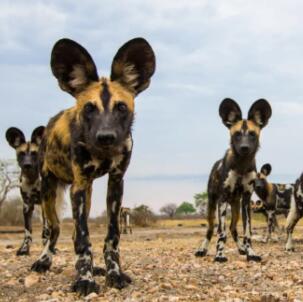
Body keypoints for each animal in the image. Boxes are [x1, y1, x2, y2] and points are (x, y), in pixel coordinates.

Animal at [5, 126, 47, 256]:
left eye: (34, 154)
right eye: (21, 154)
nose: (27, 165)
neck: (32, 180)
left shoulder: (45, 203)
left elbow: (46, 231)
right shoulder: (27, 205)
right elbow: (28, 231)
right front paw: (24, 249)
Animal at [30, 36, 157, 294]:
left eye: (121, 107)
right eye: (89, 108)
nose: (106, 136)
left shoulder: (115, 184)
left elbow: (112, 236)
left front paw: (113, 273)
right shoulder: (78, 185)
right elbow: (82, 239)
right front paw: (84, 280)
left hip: (85, 195)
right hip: (50, 190)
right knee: (54, 230)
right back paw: (43, 261)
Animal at [197, 98, 274, 262]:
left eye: (252, 134)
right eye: (237, 134)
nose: (244, 147)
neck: (241, 165)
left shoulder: (246, 201)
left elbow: (247, 232)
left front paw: (250, 252)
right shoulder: (223, 199)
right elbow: (221, 233)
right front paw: (220, 255)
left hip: (236, 207)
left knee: (233, 228)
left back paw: (241, 248)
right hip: (212, 206)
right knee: (211, 229)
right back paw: (202, 249)